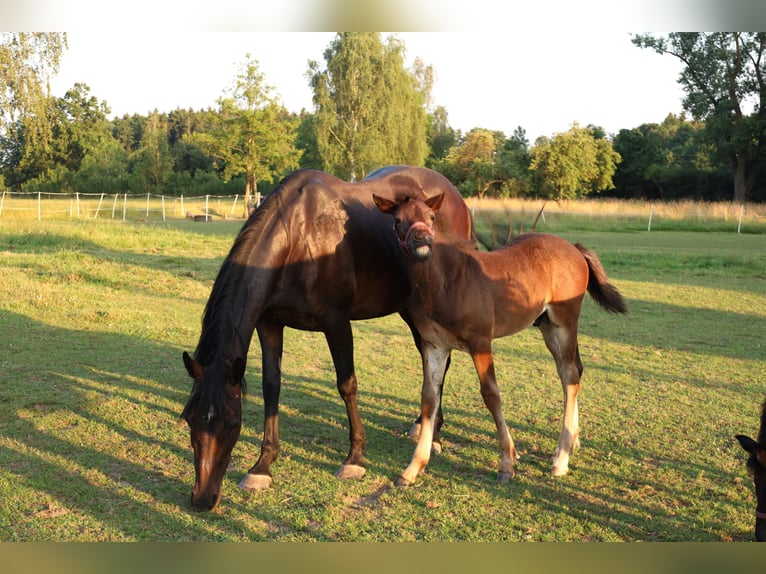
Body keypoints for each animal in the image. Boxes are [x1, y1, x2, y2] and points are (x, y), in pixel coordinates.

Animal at [374, 192, 632, 486]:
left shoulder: (480, 342)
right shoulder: (434, 346)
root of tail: (575, 248)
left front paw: (507, 463)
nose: (422, 240)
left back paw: (562, 458)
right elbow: (429, 398)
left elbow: (491, 394)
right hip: (546, 326)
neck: (445, 282)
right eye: (397, 220)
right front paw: (413, 468)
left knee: (569, 376)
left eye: (431, 216)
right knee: (572, 370)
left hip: (564, 322)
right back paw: (569, 444)